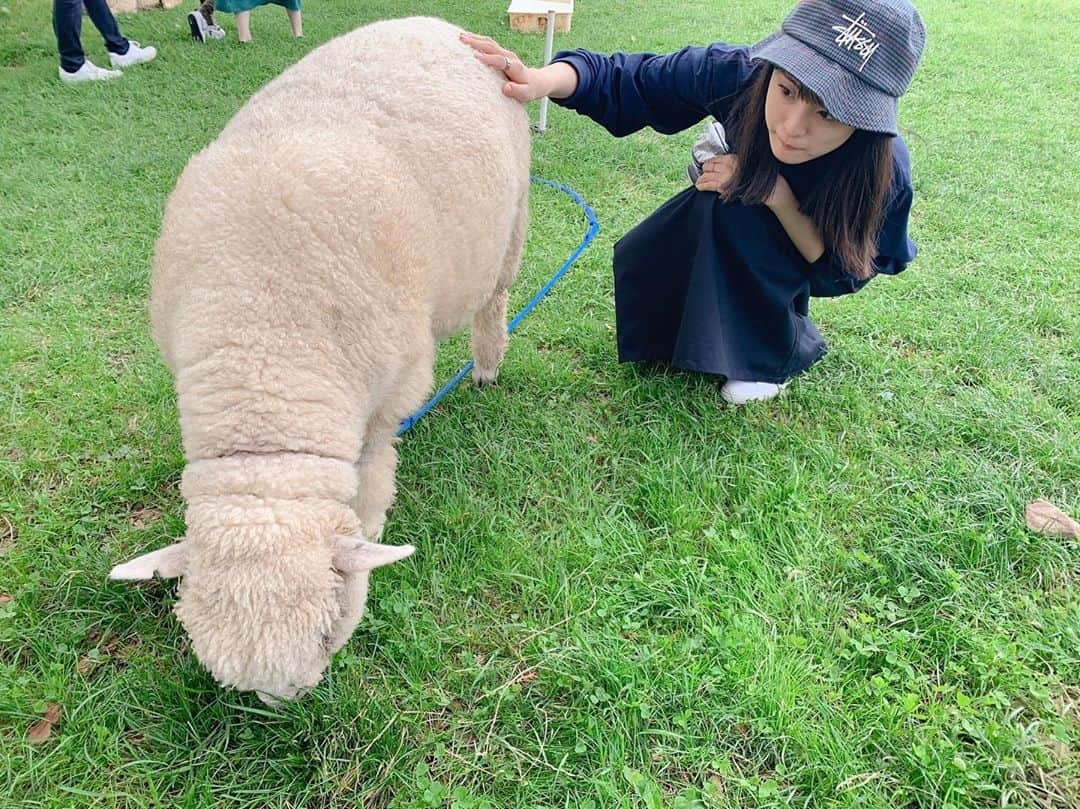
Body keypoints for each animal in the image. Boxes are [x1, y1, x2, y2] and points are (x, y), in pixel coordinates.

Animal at [109, 17, 531, 699]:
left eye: (330, 632)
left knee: (494, 297)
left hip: (512, 217)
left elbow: (372, 481)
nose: (289, 704)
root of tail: (434, 24)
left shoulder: (388, 400)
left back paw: (487, 367)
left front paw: (373, 527)